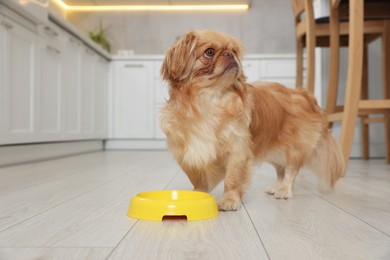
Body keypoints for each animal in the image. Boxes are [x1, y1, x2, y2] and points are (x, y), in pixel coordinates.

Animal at [160, 29, 342, 211]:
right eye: (209, 52)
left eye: (234, 51)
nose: (230, 54)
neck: (210, 100)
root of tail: (303, 94)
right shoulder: (187, 151)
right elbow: (198, 178)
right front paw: (198, 194)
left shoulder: (237, 149)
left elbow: (232, 179)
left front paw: (230, 200)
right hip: (274, 149)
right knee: (280, 169)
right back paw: (276, 187)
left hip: (293, 148)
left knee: (291, 170)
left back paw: (284, 190)